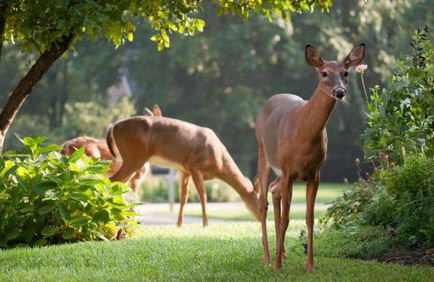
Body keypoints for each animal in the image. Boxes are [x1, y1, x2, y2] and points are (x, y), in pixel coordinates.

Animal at [106, 113, 262, 226]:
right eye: (261, 204)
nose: (262, 219)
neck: (220, 164)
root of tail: (113, 126)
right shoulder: (195, 166)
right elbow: (203, 195)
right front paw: (206, 224)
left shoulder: (184, 170)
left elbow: (183, 197)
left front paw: (179, 225)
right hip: (134, 156)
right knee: (111, 180)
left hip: (133, 158)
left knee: (120, 184)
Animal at [256, 43, 364, 270]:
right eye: (324, 73)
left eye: (346, 72)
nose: (339, 92)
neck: (303, 134)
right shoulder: (288, 170)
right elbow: (287, 218)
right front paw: (277, 267)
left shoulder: (315, 173)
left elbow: (309, 218)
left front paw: (310, 266)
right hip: (264, 153)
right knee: (262, 202)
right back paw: (268, 259)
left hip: (283, 171)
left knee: (274, 190)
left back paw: (283, 253)